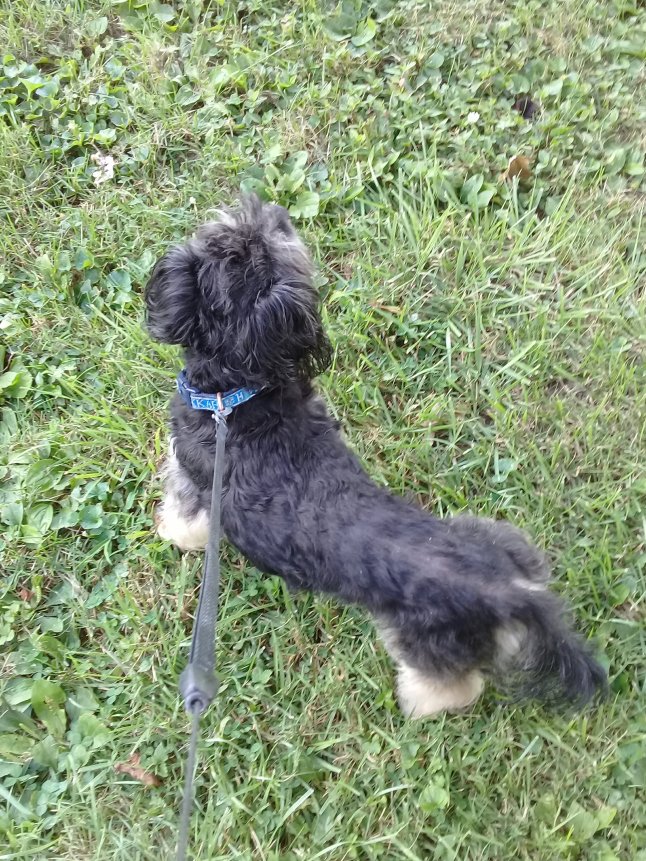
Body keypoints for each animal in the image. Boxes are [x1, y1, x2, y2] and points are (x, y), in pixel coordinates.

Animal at [145, 196, 606, 717]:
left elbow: (183, 519)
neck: (235, 393)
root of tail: (509, 592)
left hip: (424, 643)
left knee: (455, 686)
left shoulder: (191, 478)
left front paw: (170, 533)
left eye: (264, 241)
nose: (273, 207)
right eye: (232, 238)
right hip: (500, 538)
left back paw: (418, 706)